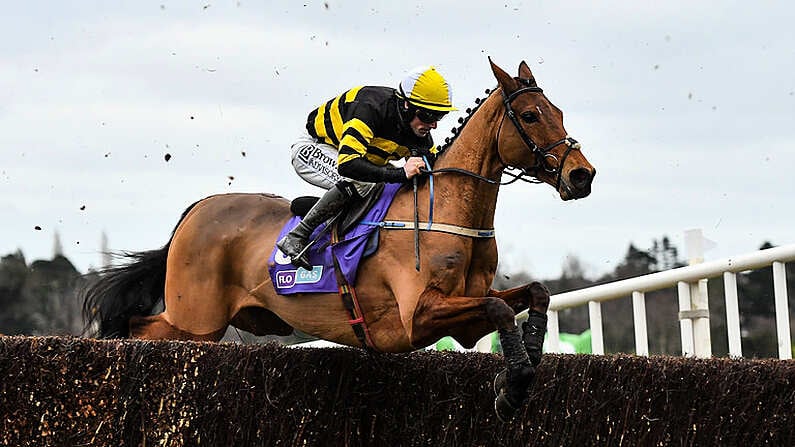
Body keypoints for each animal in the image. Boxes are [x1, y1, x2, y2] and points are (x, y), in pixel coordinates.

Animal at [81, 60, 592, 424]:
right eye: (530, 115)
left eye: (560, 113)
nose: (581, 175)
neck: (443, 210)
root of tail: (196, 210)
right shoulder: (417, 316)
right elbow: (500, 306)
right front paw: (513, 386)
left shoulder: (465, 313)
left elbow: (534, 294)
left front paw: (530, 357)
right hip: (194, 320)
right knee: (136, 331)